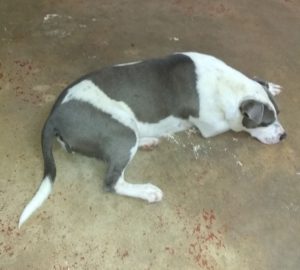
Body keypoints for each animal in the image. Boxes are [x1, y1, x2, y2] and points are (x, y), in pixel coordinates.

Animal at [18, 51, 286, 227]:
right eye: (265, 122)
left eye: (278, 115)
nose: (284, 136)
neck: (226, 82)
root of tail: (53, 115)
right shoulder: (211, 126)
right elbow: (233, 125)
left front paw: (269, 84)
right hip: (123, 133)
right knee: (112, 182)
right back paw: (147, 191)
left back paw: (147, 141)